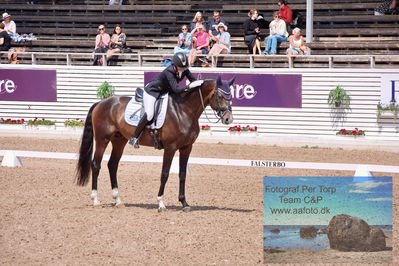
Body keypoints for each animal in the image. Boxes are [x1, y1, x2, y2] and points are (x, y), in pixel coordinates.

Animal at [75, 76, 234, 211]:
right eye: (220, 96)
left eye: (230, 97)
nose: (228, 119)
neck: (183, 111)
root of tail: (101, 102)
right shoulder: (170, 148)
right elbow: (165, 174)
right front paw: (161, 203)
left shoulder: (186, 148)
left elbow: (182, 174)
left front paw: (184, 203)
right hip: (102, 139)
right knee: (96, 164)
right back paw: (95, 200)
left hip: (119, 141)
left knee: (112, 165)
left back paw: (118, 200)